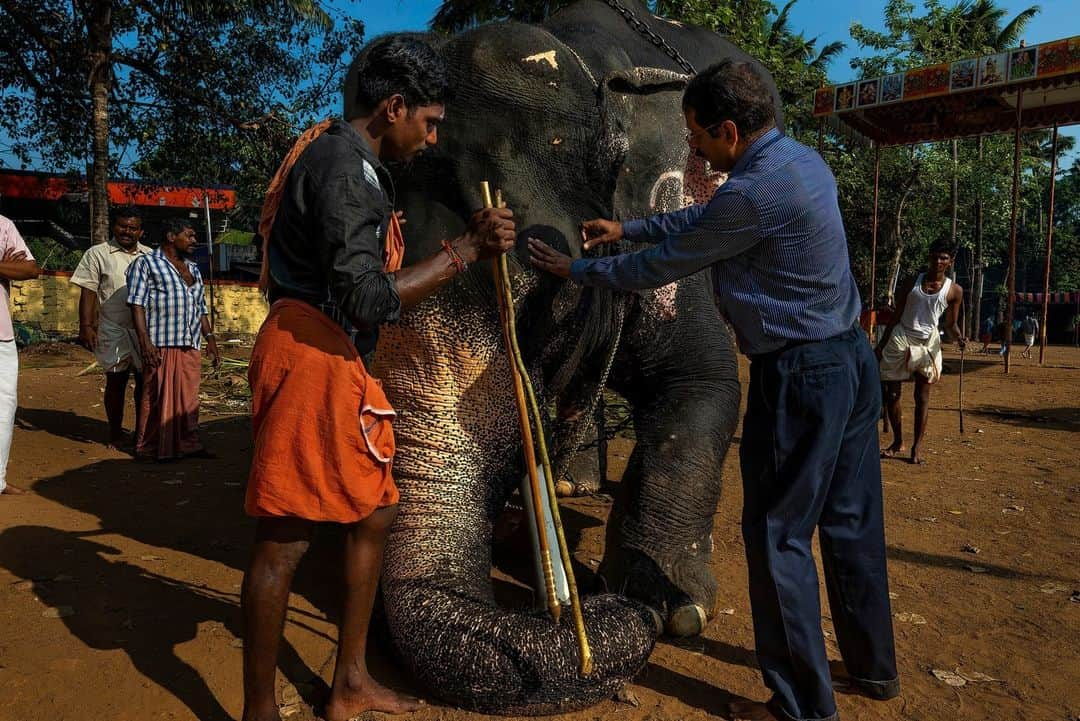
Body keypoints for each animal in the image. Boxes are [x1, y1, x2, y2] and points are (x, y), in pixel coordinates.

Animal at [356, 0, 786, 712]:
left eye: (532, 297)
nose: (609, 608)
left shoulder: (682, 229)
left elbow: (703, 382)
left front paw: (671, 604)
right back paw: (568, 484)